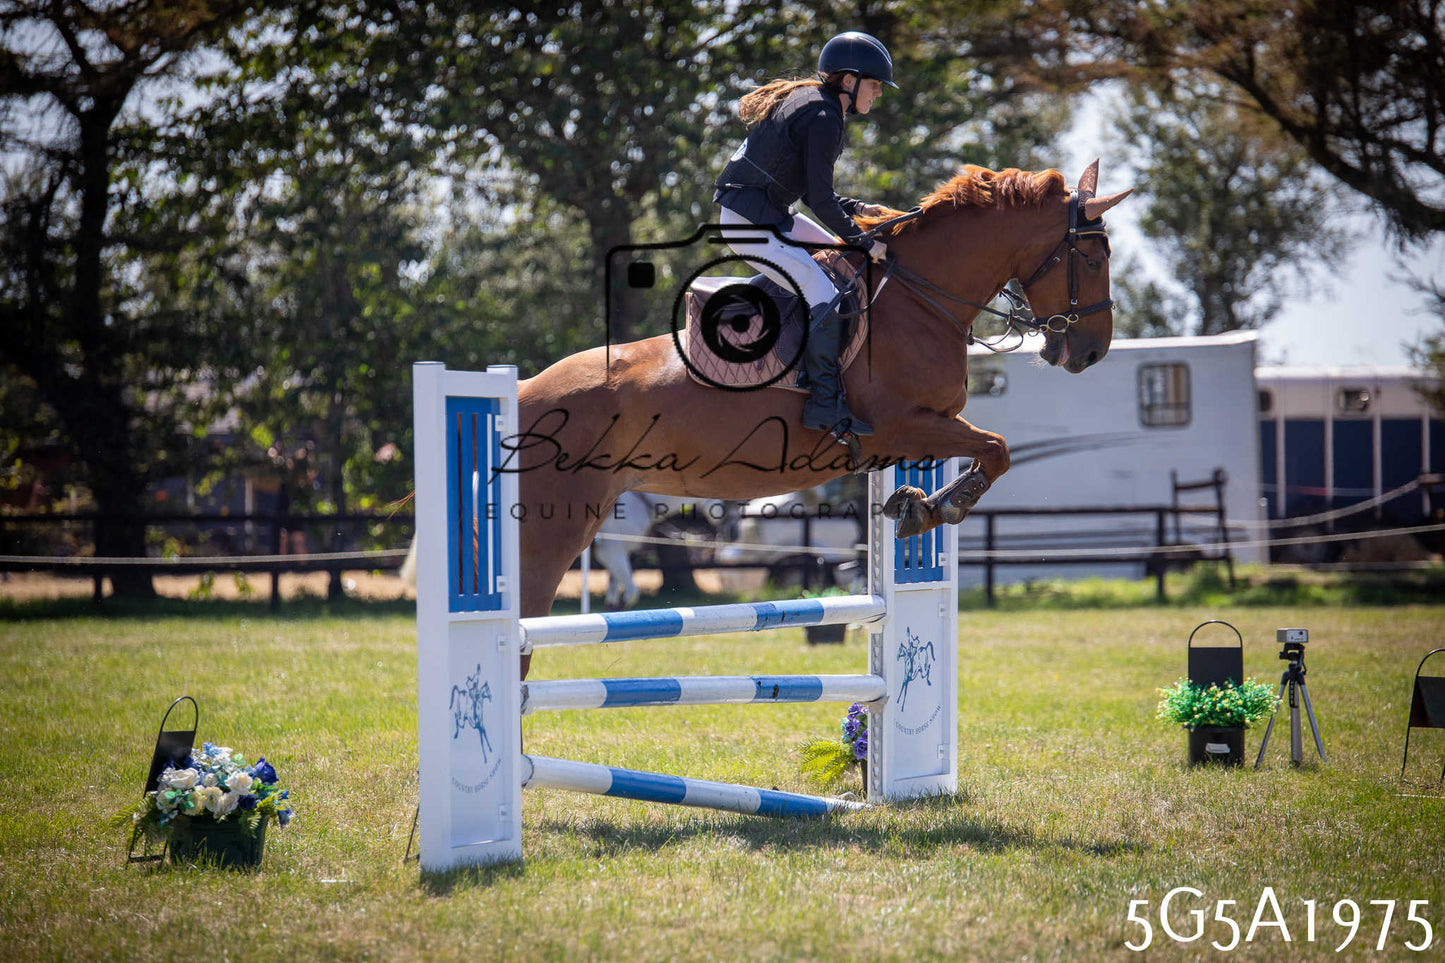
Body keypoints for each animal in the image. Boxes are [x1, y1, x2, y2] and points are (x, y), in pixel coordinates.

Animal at [507, 162, 1131, 678]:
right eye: (1094, 259)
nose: (1091, 351)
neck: (919, 299)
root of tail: (523, 391)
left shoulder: (927, 427)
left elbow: (986, 452)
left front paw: (913, 505)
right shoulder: (900, 427)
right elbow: (997, 449)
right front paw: (935, 510)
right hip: (552, 527)